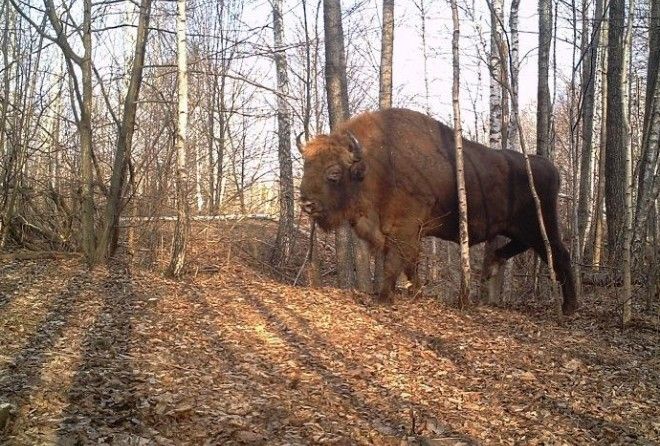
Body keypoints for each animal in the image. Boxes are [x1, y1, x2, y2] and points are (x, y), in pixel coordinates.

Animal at [300, 108, 576, 316]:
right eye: (306, 166)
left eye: (334, 173)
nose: (306, 204)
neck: (374, 166)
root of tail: (550, 168)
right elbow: (409, 263)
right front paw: (416, 292)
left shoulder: (404, 229)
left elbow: (395, 263)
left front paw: (384, 298)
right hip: (519, 227)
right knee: (522, 247)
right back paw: (492, 266)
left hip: (540, 225)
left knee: (560, 254)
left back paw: (569, 307)